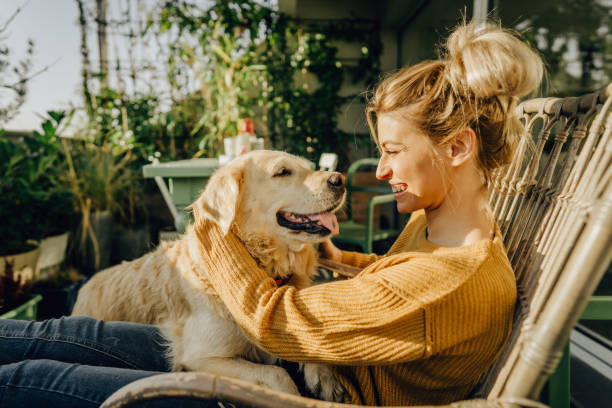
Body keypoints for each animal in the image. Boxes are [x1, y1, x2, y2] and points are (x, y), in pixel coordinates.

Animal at [71, 151, 346, 402]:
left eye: (310, 167)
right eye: (282, 172)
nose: (339, 180)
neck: (264, 264)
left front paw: (325, 377)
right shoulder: (200, 356)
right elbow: (276, 373)